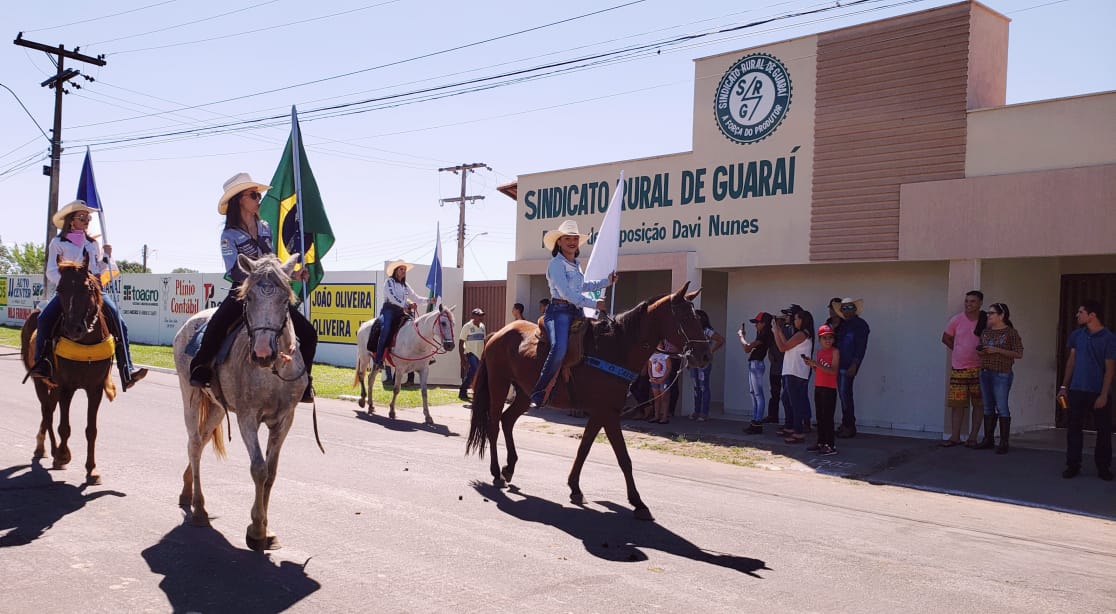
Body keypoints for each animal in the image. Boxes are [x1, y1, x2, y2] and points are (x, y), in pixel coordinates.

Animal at [19, 255, 116, 486]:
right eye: (60, 289)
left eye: (87, 288)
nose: (74, 329)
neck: (85, 344)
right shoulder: (66, 387)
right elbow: (64, 426)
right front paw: (63, 454)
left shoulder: (95, 389)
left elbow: (91, 430)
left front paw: (92, 470)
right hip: (40, 380)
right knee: (47, 413)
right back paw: (50, 450)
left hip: (53, 387)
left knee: (49, 411)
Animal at [171, 255, 308, 553]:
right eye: (249, 298)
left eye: (284, 299)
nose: (263, 353)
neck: (273, 372)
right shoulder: (247, 418)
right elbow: (259, 469)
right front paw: (256, 530)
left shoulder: (285, 420)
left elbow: (271, 472)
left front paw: (267, 531)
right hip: (190, 395)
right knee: (194, 444)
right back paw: (199, 508)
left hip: (216, 408)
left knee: (203, 438)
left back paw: (187, 490)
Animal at [464, 282, 709, 520]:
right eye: (684, 318)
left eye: (698, 318)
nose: (705, 355)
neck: (616, 348)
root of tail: (497, 334)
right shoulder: (608, 413)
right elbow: (624, 458)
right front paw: (638, 503)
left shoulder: (601, 412)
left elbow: (584, 449)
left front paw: (575, 488)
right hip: (499, 384)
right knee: (494, 425)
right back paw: (497, 473)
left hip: (525, 394)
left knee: (507, 420)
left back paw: (509, 468)